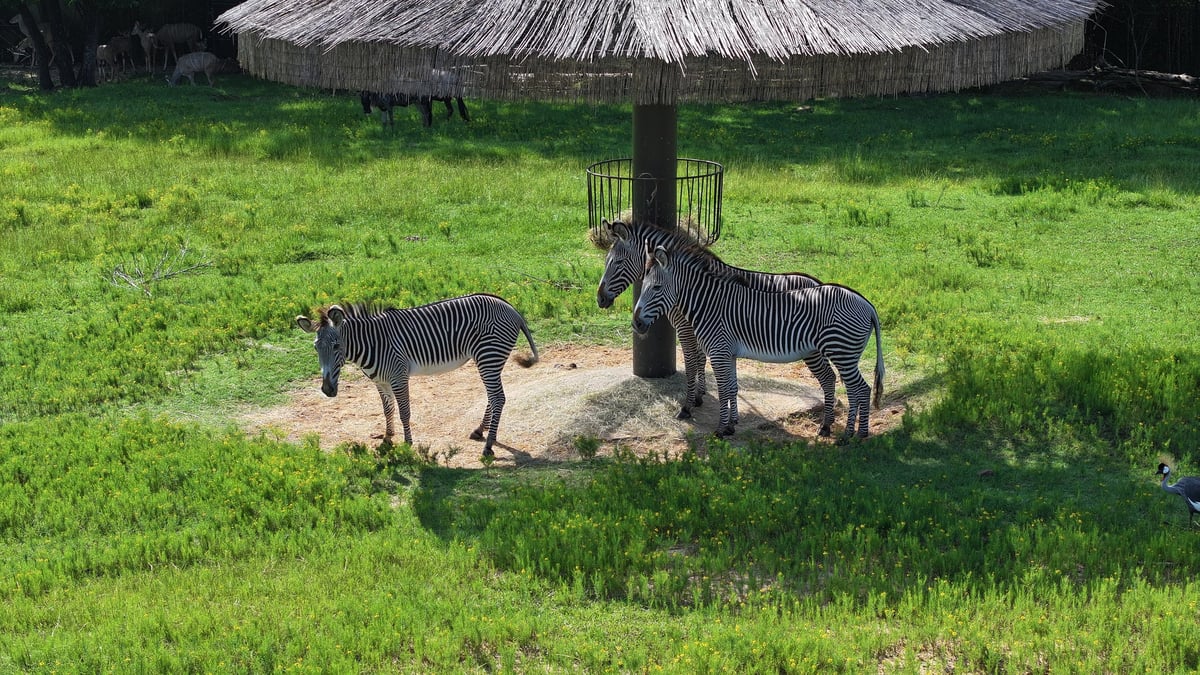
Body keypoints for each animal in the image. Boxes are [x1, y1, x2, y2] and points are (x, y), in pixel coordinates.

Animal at [295, 294, 539, 457]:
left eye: (337, 346)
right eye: (316, 347)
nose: (327, 390)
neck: (371, 344)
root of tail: (511, 308)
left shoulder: (398, 377)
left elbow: (404, 412)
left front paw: (407, 443)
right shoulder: (380, 381)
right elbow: (387, 410)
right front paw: (387, 438)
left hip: (489, 356)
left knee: (498, 398)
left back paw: (489, 445)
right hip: (490, 360)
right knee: (493, 396)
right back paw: (480, 431)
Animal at [596, 219, 841, 432]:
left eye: (617, 263)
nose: (600, 299)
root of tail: (818, 282)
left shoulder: (687, 329)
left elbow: (693, 364)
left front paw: (688, 405)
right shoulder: (702, 332)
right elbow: (704, 363)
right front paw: (703, 398)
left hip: (812, 350)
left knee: (828, 378)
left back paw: (827, 424)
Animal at [632, 243, 884, 440]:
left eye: (656, 287)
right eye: (642, 286)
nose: (636, 324)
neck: (709, 304)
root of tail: (867, 304)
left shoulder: (719, 352)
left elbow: (723, 390)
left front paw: (720, 429)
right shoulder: (729, 354)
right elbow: (732, 387)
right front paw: (731, 425)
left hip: (842, 352)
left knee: (860, 388)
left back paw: (854, 435)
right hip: (836, 353)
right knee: (846, 385)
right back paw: (833, 428)